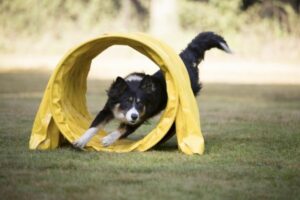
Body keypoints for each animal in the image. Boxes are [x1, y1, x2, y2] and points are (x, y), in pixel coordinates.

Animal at [73, 32, 232, 148]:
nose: (134, 116)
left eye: (140, 103)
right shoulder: (108, 109)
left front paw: (107, 139)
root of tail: (186, 58)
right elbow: (93, 126)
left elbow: (122, 130)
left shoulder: (140, 118)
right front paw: (80, 141)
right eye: (127, 101)